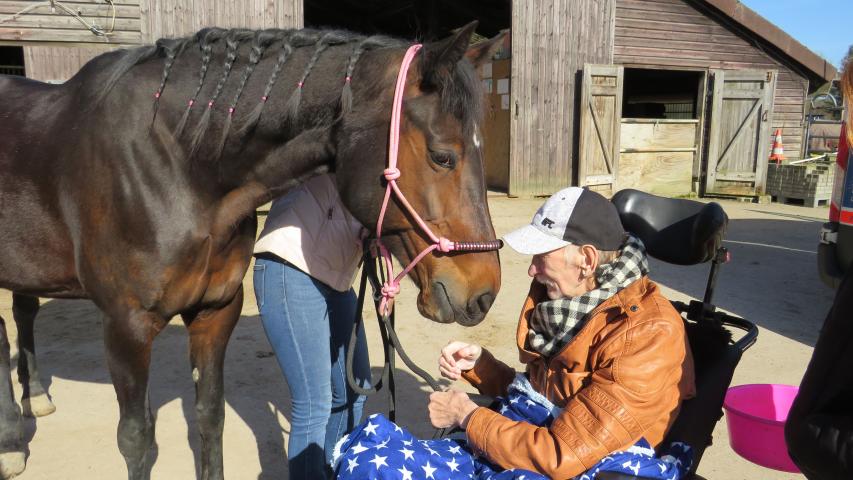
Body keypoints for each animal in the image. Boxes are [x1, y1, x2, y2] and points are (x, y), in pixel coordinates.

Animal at [0, 22, 503, 479]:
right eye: (442, 156)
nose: (484, 292)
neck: (176, 166)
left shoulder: (215, 310)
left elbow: (210, 418)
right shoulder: (127, 326)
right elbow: (137, 440)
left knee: (20, 316)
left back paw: (35, 399)